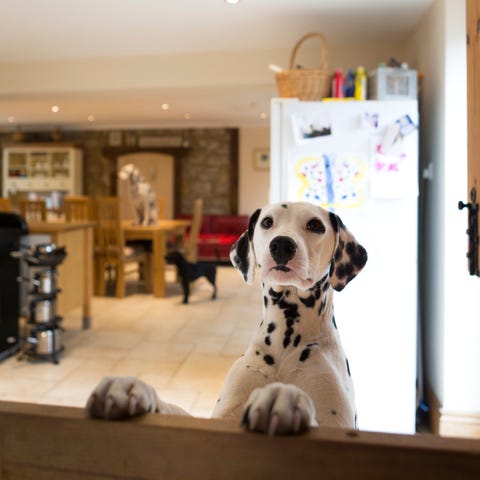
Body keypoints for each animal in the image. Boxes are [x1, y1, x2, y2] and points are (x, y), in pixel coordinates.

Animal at [86, 202, 368, 436]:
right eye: (267, 222)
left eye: (315, 225)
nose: (282, 245)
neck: (287, 339)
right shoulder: (221, 418)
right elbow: (175, 410)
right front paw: (133, 390)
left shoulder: (338, 424)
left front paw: (286, 398)